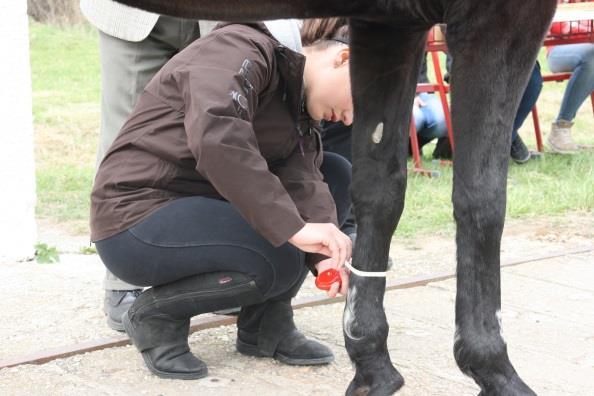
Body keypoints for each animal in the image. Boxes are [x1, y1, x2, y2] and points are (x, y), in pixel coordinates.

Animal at [113, 1, 556, 394]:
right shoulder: (496, 18)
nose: (343, 119)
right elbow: (481, 196)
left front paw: (372, 365)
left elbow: (379, 189)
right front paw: (492, 368)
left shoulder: (389, 24)